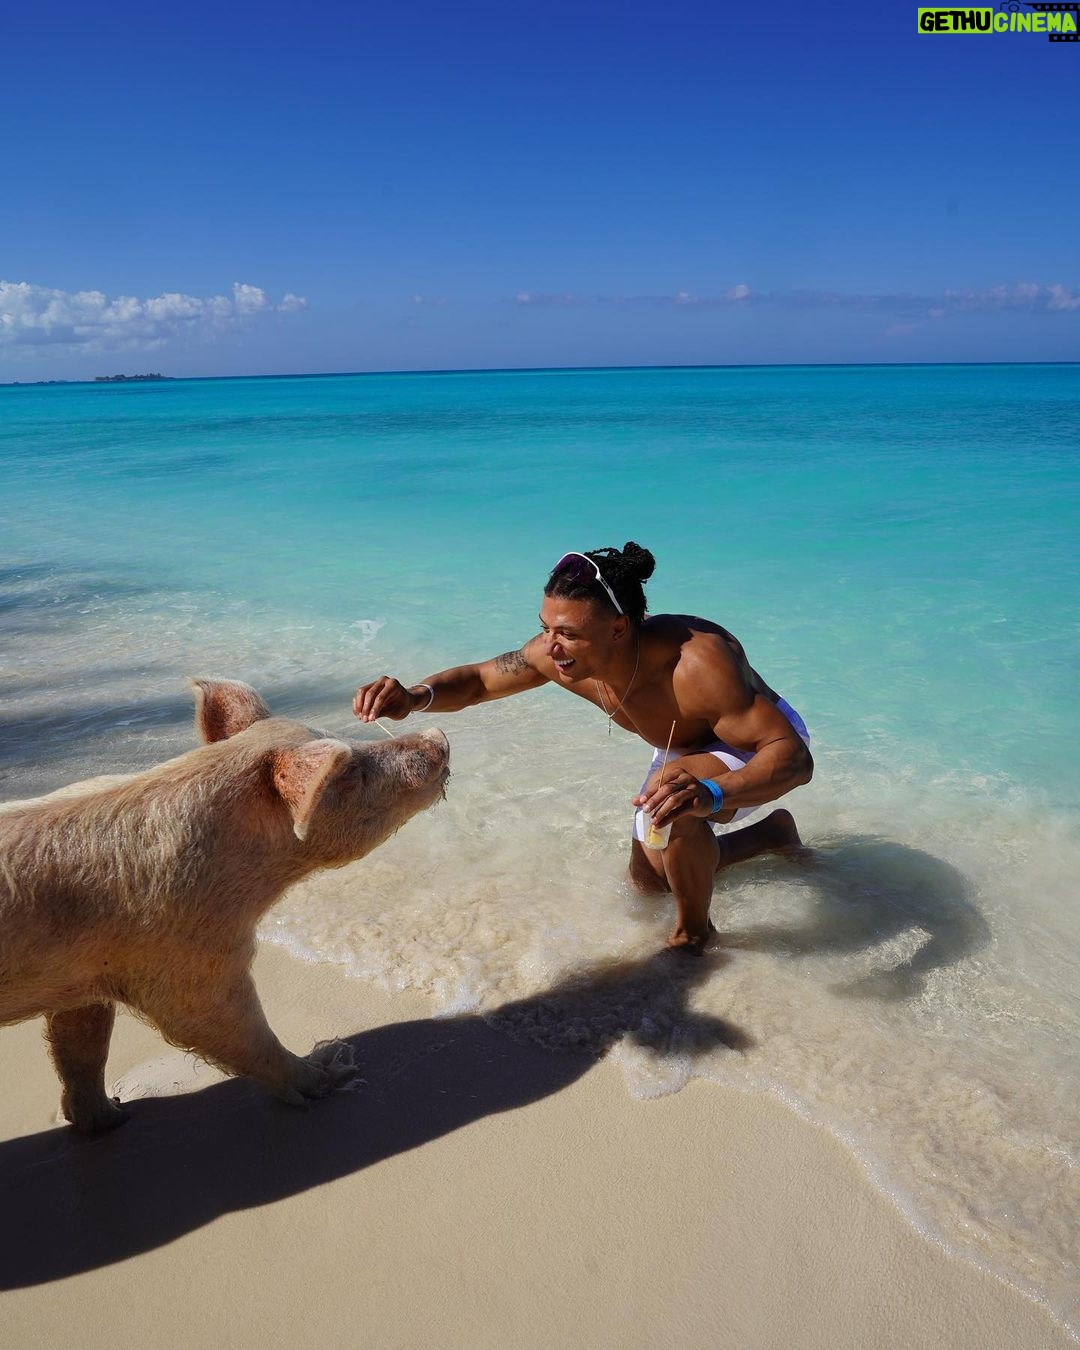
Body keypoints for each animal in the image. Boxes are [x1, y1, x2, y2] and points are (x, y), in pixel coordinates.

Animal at [0, 678, 449, 1132]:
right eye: (350, 771)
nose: (438, 736)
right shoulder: (183, 950)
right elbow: (218, 1024)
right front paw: (335, 1067)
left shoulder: (82, 979)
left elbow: (82, 1044)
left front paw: (111, 1117)